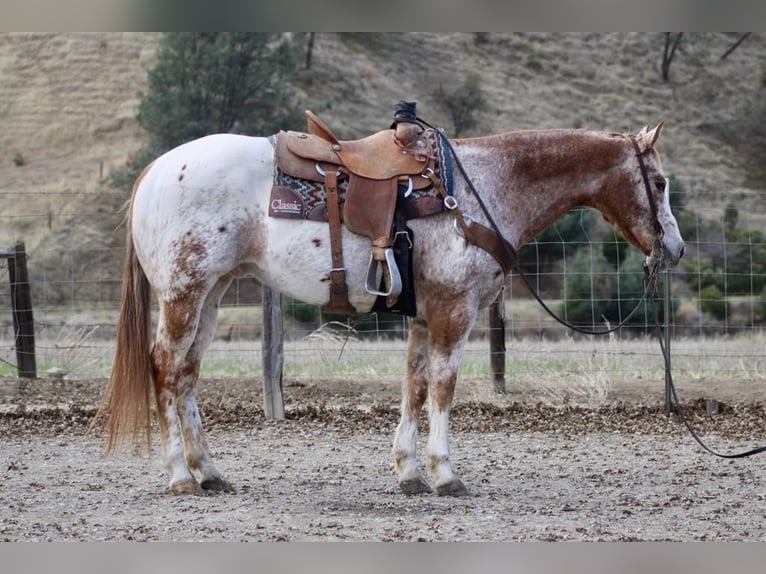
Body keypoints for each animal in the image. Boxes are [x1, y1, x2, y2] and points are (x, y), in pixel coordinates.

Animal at [95, 120, 685, 496]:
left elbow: (414, 388)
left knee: (187, 375)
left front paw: (409, 473)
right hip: (183, 294)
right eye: (658, 183)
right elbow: (443, 390)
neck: (480, 190)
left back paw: (209, 472)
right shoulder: (452, 311)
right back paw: (179, 476)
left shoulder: (423, 315)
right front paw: (444, 474)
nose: (675, 249)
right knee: (166, 369)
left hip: (211, 296)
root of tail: (155, 169)